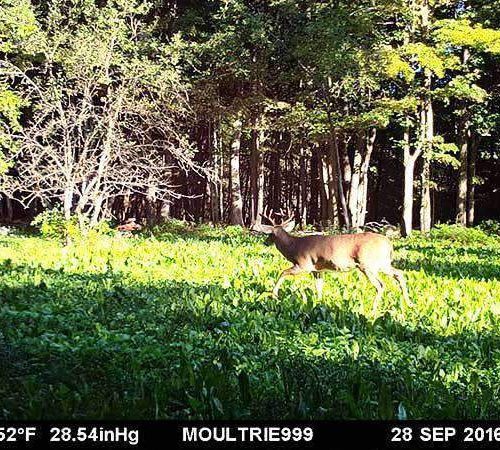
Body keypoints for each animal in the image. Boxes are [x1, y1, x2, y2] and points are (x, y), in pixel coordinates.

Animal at [252, 209, 412, 314]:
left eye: (270, 234)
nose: (266, 242)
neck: (293, 247)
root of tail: (389, 244)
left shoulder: (303, 264)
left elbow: (283, 272)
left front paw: (274, 294)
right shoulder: (317, 270)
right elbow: (319, 287)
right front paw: (319, 303)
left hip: (367, 265)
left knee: (381, 285)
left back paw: (372, 311)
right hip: (383, 263)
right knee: (399, 274)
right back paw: (409, 303)